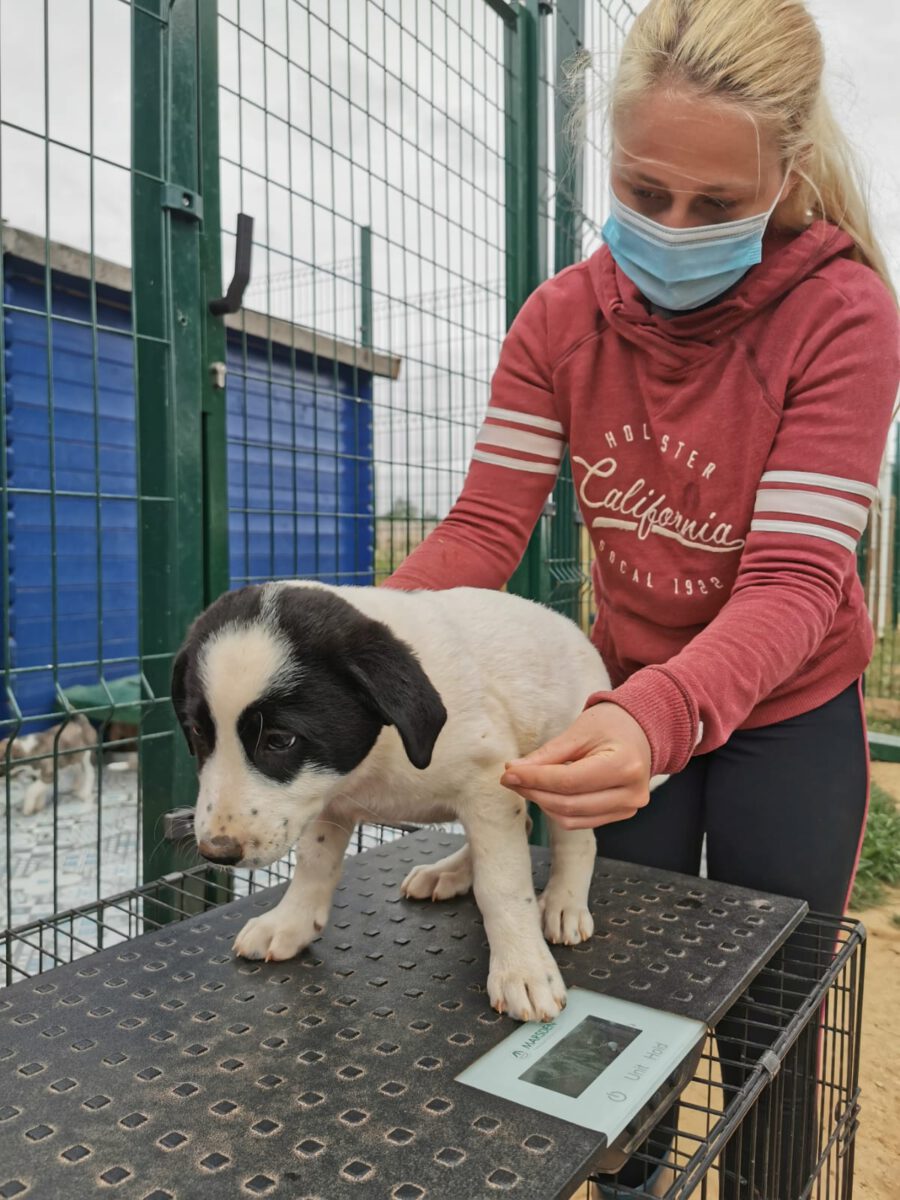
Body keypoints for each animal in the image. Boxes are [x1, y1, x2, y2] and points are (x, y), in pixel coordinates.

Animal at [173, 581, 663, 1023]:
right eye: (197, 732)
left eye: (279, 740)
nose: (216, 852)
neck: (381, 752)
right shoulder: (327, 797)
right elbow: (314, 865)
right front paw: (290, 924)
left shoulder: (489, 786)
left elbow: (502, 886)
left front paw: (523, 969)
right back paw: (449, 873)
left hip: (567, 769)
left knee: (575, 840)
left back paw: (564, 903)